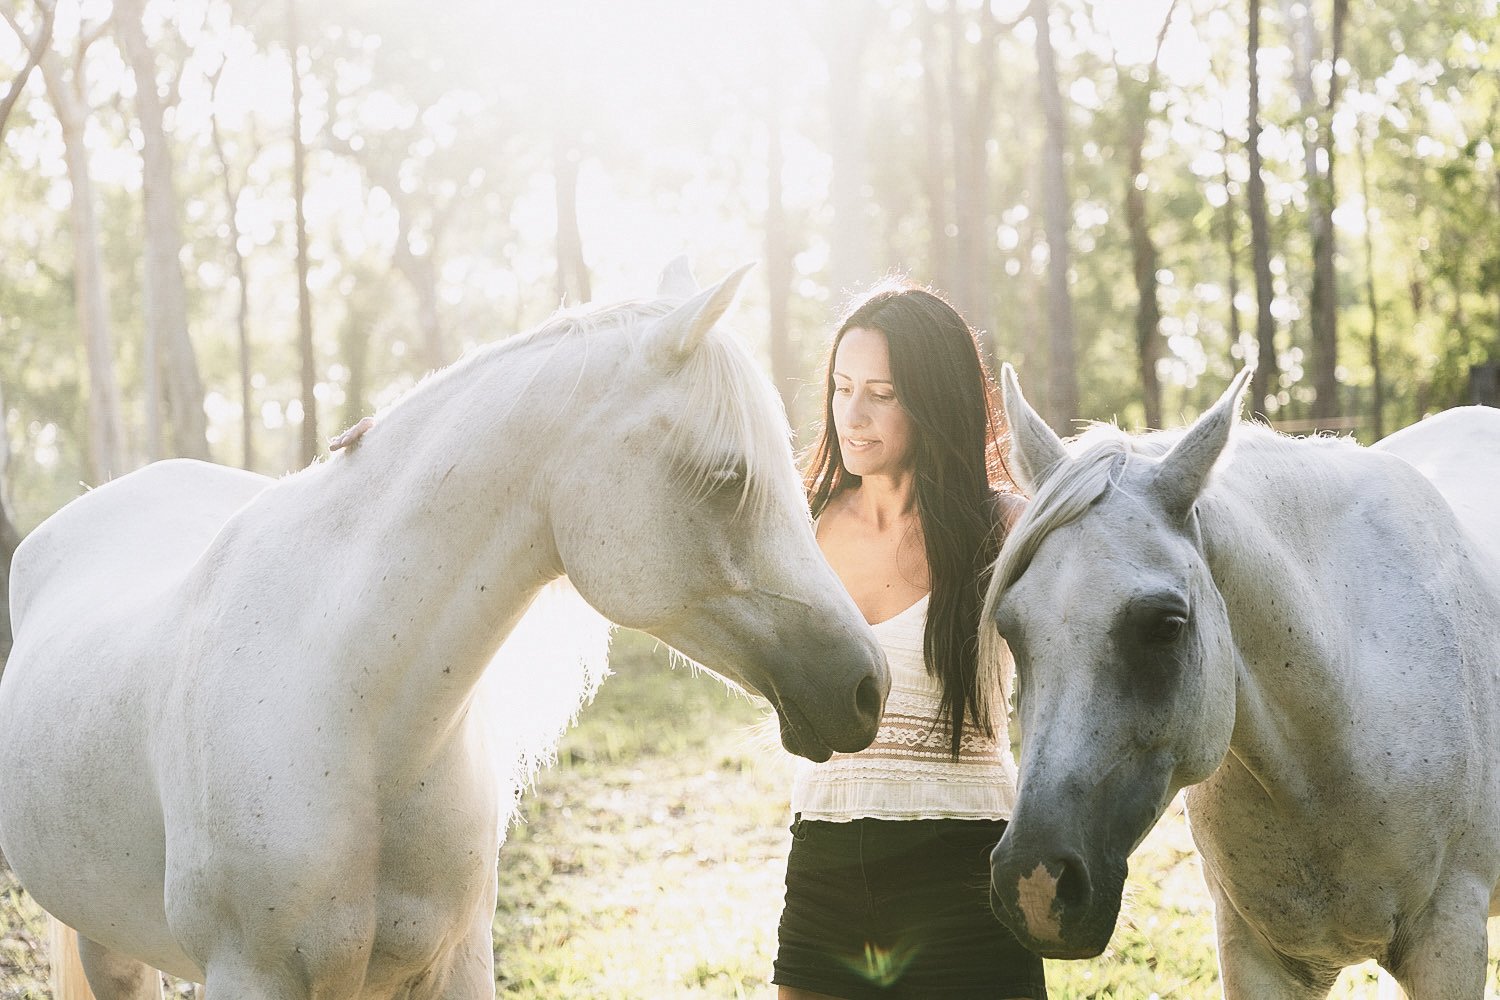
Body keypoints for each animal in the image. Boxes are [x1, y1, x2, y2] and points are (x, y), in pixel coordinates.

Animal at [0, 260, 890, 1000]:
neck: (349, 710)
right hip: (106, 948)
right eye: (728, 477)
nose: (867, 686)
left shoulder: (453, 965)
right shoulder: (250, 976)